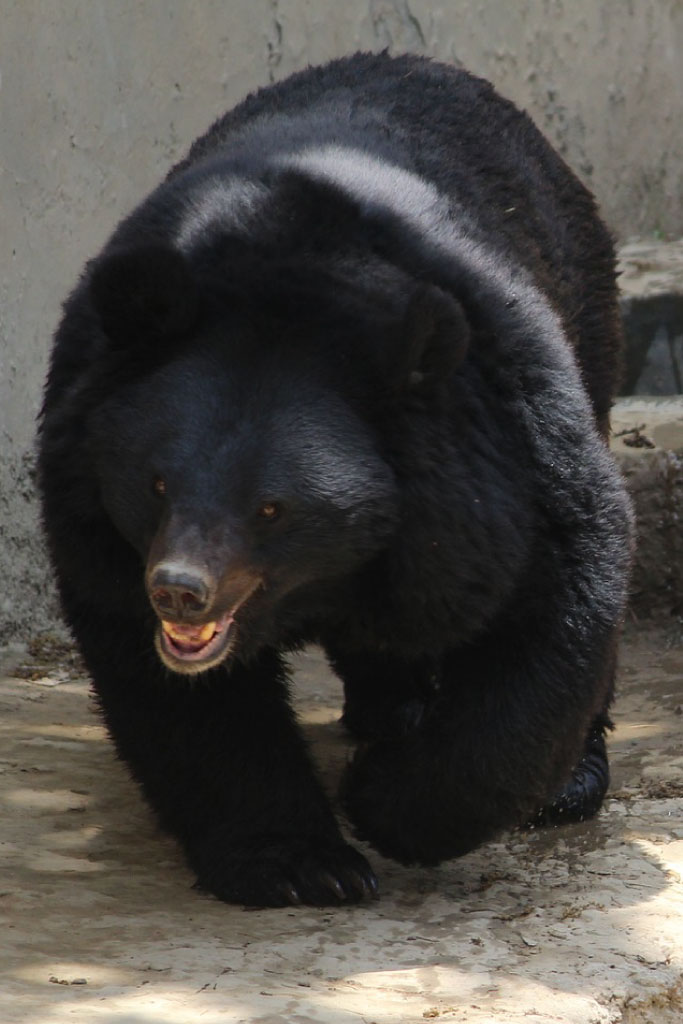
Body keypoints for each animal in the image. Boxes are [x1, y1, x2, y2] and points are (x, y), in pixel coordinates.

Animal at [38, 52, 632, 908]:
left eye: (271, 508)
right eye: (155, 484)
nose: (180, 592)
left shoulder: (497, 445)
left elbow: (555, 599)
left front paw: (384, 802)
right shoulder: (88, 489)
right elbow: (171, 684)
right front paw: (300, 863)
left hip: (585, 312)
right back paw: (387, 705)